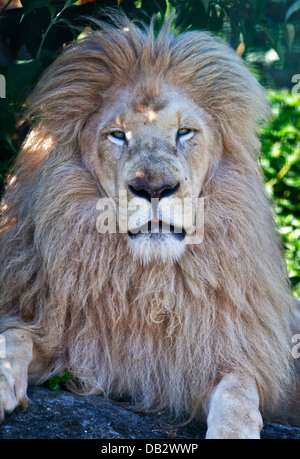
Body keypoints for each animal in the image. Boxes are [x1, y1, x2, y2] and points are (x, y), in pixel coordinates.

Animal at [0, 13, 300, 438]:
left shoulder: (218, 358)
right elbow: (14, 336)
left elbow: (239, 389)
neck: (148, 284)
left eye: (184, 132)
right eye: (118, 135)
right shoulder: (61, 338)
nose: (154, 188)